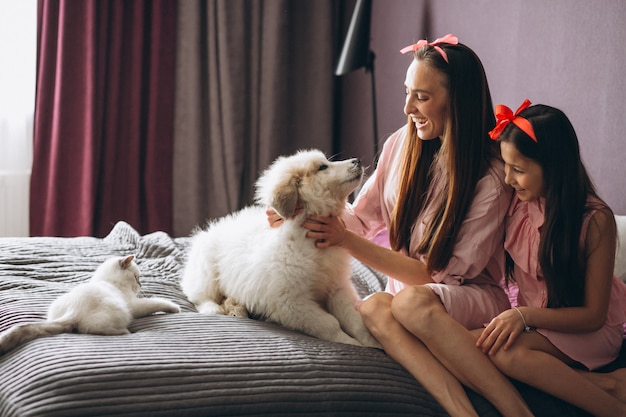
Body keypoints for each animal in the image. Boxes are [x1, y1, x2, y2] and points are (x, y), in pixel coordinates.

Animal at [0, 255, 179, 352]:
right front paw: (175, 308)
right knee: (91, 329)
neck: (111, 282)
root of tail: (74, 309)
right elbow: (157, 302)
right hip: (120, 312)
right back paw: (124, 332)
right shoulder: (135, 305)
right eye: (137, 277)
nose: (140, 286)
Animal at [178, 150, 378, 348]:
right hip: (206, 272)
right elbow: (330, 324)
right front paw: (351, 343)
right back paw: (214, 309)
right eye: (322, 167)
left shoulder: (338, 287)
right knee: (200, 296)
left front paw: (373, 343)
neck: (312, 243)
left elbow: (356, 320)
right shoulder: (290, 301)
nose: (357, 160)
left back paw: (237, 310)